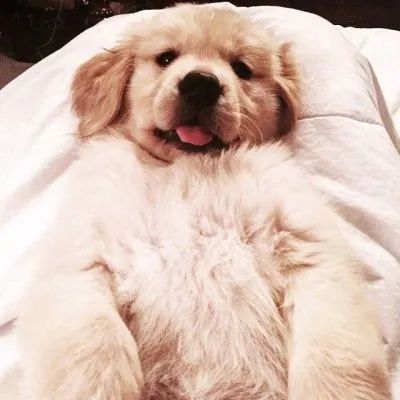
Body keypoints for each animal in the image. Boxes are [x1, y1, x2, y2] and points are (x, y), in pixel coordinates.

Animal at [16, 4, 391, 400]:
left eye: (242, 68)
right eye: (166, 58)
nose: (201, 84)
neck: (188, 167)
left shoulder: (312, 256)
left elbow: (334, 361)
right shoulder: (80, 262)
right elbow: (94, 355)